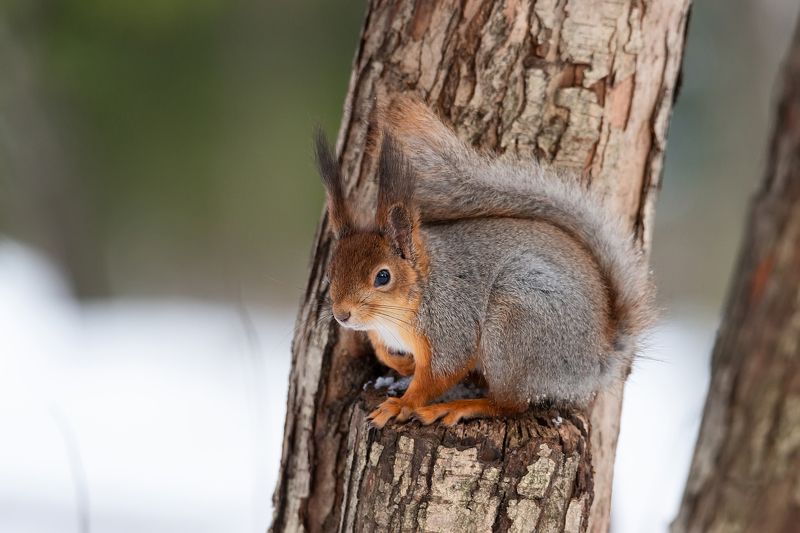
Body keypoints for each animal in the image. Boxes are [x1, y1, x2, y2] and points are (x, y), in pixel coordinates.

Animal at [314, 96, 655, 428]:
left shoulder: (452, 325)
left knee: (511, 404)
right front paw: (404, 364)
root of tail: (595, 360)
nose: (342, 315)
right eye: (330, 273)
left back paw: (460, 407)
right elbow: (385, 354)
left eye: (383, 277)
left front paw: (402, 404)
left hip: (516, 322)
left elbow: (439, 374)